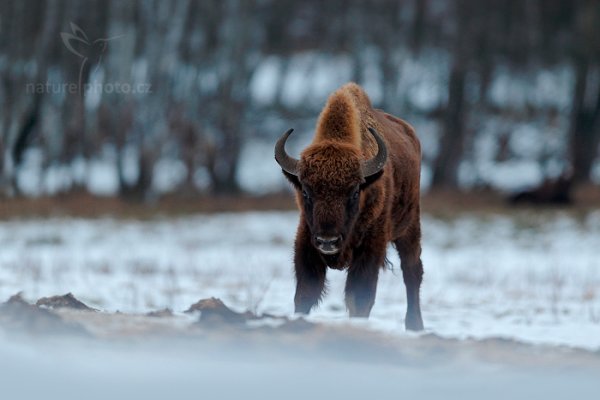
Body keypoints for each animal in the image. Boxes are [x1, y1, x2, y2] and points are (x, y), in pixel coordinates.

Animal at [274, 83, 424, 330]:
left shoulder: (371, 248)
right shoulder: (306, 241)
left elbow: (359, 299)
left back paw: (415, 325)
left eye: (354, 192)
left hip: (409, 227)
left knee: (412, 272)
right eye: (305, 191)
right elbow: (304, 295)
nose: (328, 241)